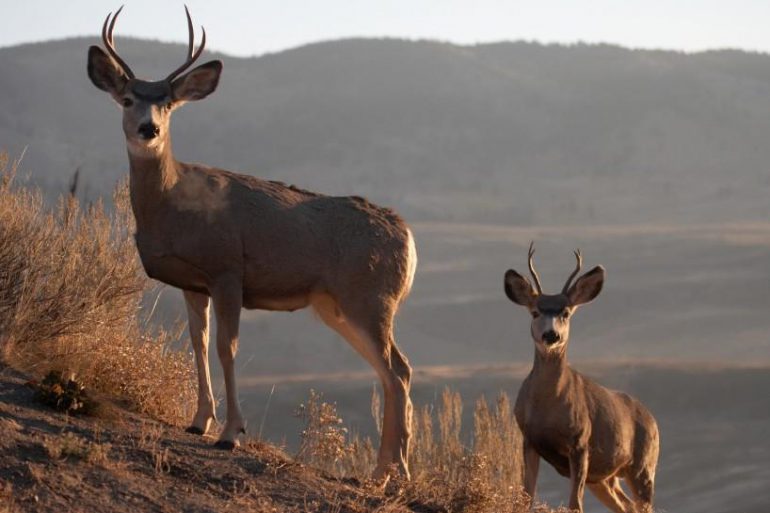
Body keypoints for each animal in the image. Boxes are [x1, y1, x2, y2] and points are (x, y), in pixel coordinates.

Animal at [86, 6, 417, 479]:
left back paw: (392, 472)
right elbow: (198, 342)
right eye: (129, 99)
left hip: (369, 297)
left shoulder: (227, 269)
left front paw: (230, 433)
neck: (172, 204)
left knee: (397, 370)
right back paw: (386, 470)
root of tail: (407, 236)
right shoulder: (192, 282)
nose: (148, 129)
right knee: (393, 371)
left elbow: (227, 348)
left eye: (167, 102)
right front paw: (198, 421)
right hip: (337, 306)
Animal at [503, 243, 659, 513]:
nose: (551, 335)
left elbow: (575, 504)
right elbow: (526, 496)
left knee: (643, 505)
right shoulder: (529, 439)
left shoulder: (580, 442)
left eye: (566, 312)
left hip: (643, 466)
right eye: (535, 312)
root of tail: (653, 421)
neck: (548, 408)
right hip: (604, 479)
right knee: (626, 506)